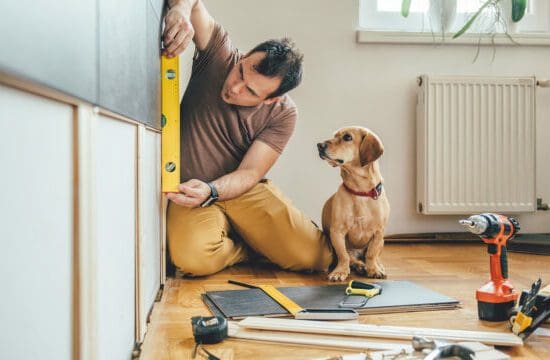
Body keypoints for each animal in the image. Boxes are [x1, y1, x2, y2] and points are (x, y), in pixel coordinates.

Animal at [316, 126, 390, 282]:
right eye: (334, 136)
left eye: (347, 137)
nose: (319, 145)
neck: (360, 191)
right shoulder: (337, 232)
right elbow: (343, 256)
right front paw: (340, 271)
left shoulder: (378, 233)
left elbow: (371, 254)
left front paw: (374, 269)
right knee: (352, 258)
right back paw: (359, 266)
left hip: (382, 241)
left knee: (372, 256)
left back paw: (376, 266)